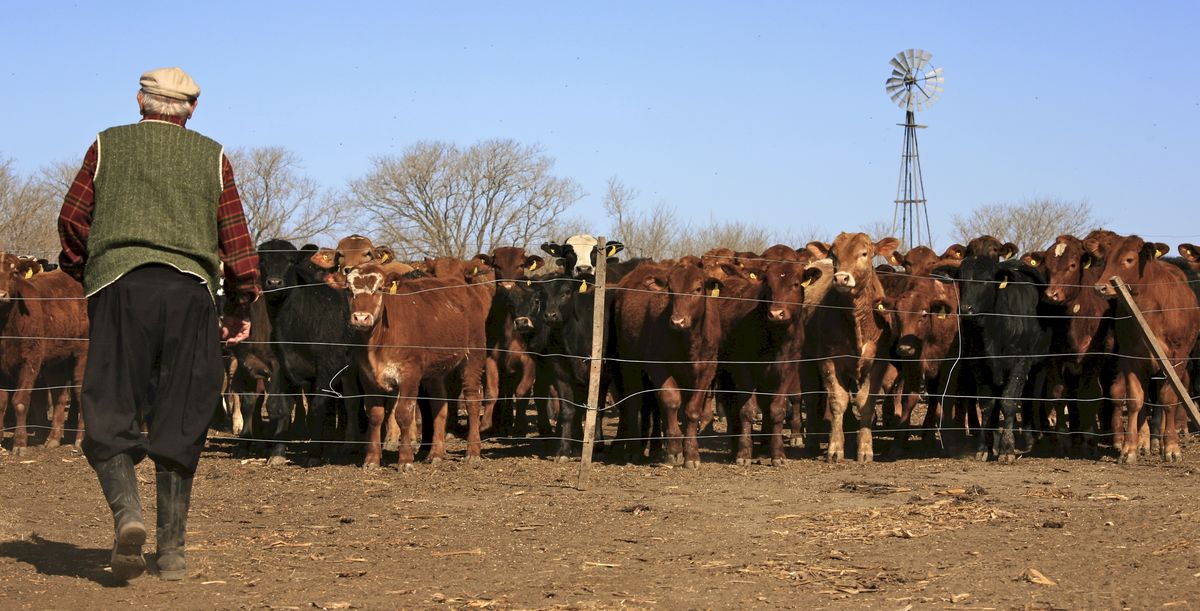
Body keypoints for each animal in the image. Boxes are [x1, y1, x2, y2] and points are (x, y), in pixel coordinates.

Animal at [0, 254, 88, 456]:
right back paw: (53, 438)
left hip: (83, 354)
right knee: (59, 397)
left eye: (14, 271)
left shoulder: (31, 360)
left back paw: (80, 441)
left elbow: (20, 401)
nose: (1, 295)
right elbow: (1, 402)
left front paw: (20, 443)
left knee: (80, 393)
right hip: (57, 361)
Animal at [1094, 234, 1195, 460]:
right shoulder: (1130, 357)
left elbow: (1168, 399)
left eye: (1129, 259)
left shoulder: (1177, 358)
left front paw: (1172, 447)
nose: (1100, 287)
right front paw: (1129, 448)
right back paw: (1144, 441)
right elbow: (1135, 399)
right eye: (1105, 260)